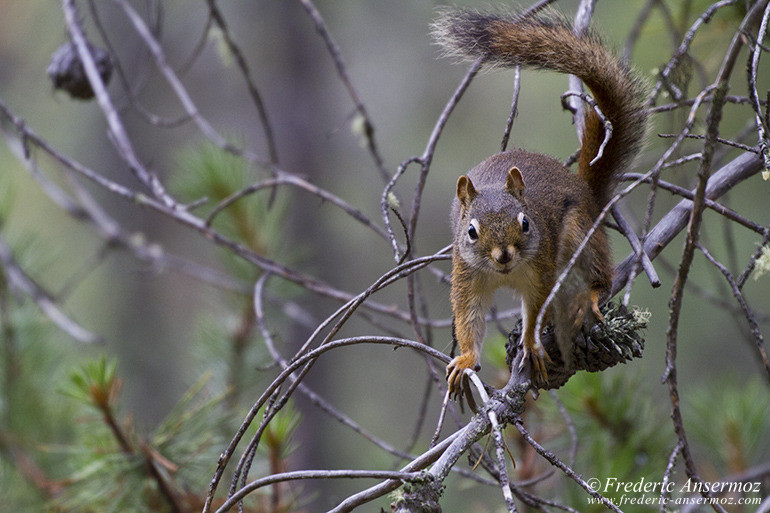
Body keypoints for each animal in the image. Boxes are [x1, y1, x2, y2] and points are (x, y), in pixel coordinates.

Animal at [432, 7, 648, 392]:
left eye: (525, 222)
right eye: (470, 231)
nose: (503, 255)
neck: (504, 272)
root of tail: (585, 190)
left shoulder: (542, 269)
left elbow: (537, 309)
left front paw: (531, 343)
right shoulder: (467, 275)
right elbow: (468, 316)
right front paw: (467, 359)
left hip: (580, 231)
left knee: (601, 276)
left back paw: (590, 296)